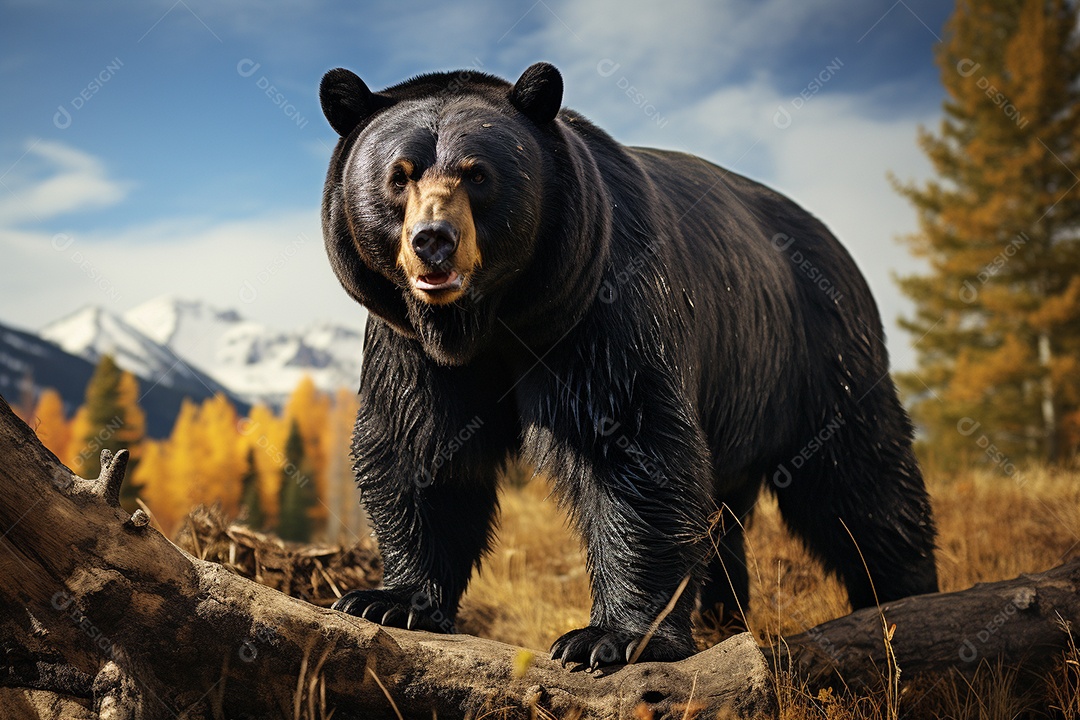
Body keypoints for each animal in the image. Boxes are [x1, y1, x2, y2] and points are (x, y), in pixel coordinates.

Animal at [319, 61, 938, 668]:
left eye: (478, 174)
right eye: (399, 176)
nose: (433, 241)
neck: (494, 318)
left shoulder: (603, 310)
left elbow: (631, 443)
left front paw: (608, 638)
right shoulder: (413, 345)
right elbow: (418, 443)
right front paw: (388, 600)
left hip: (816, 351)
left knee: (860, 478)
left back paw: (904, 596)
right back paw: (724, 614)